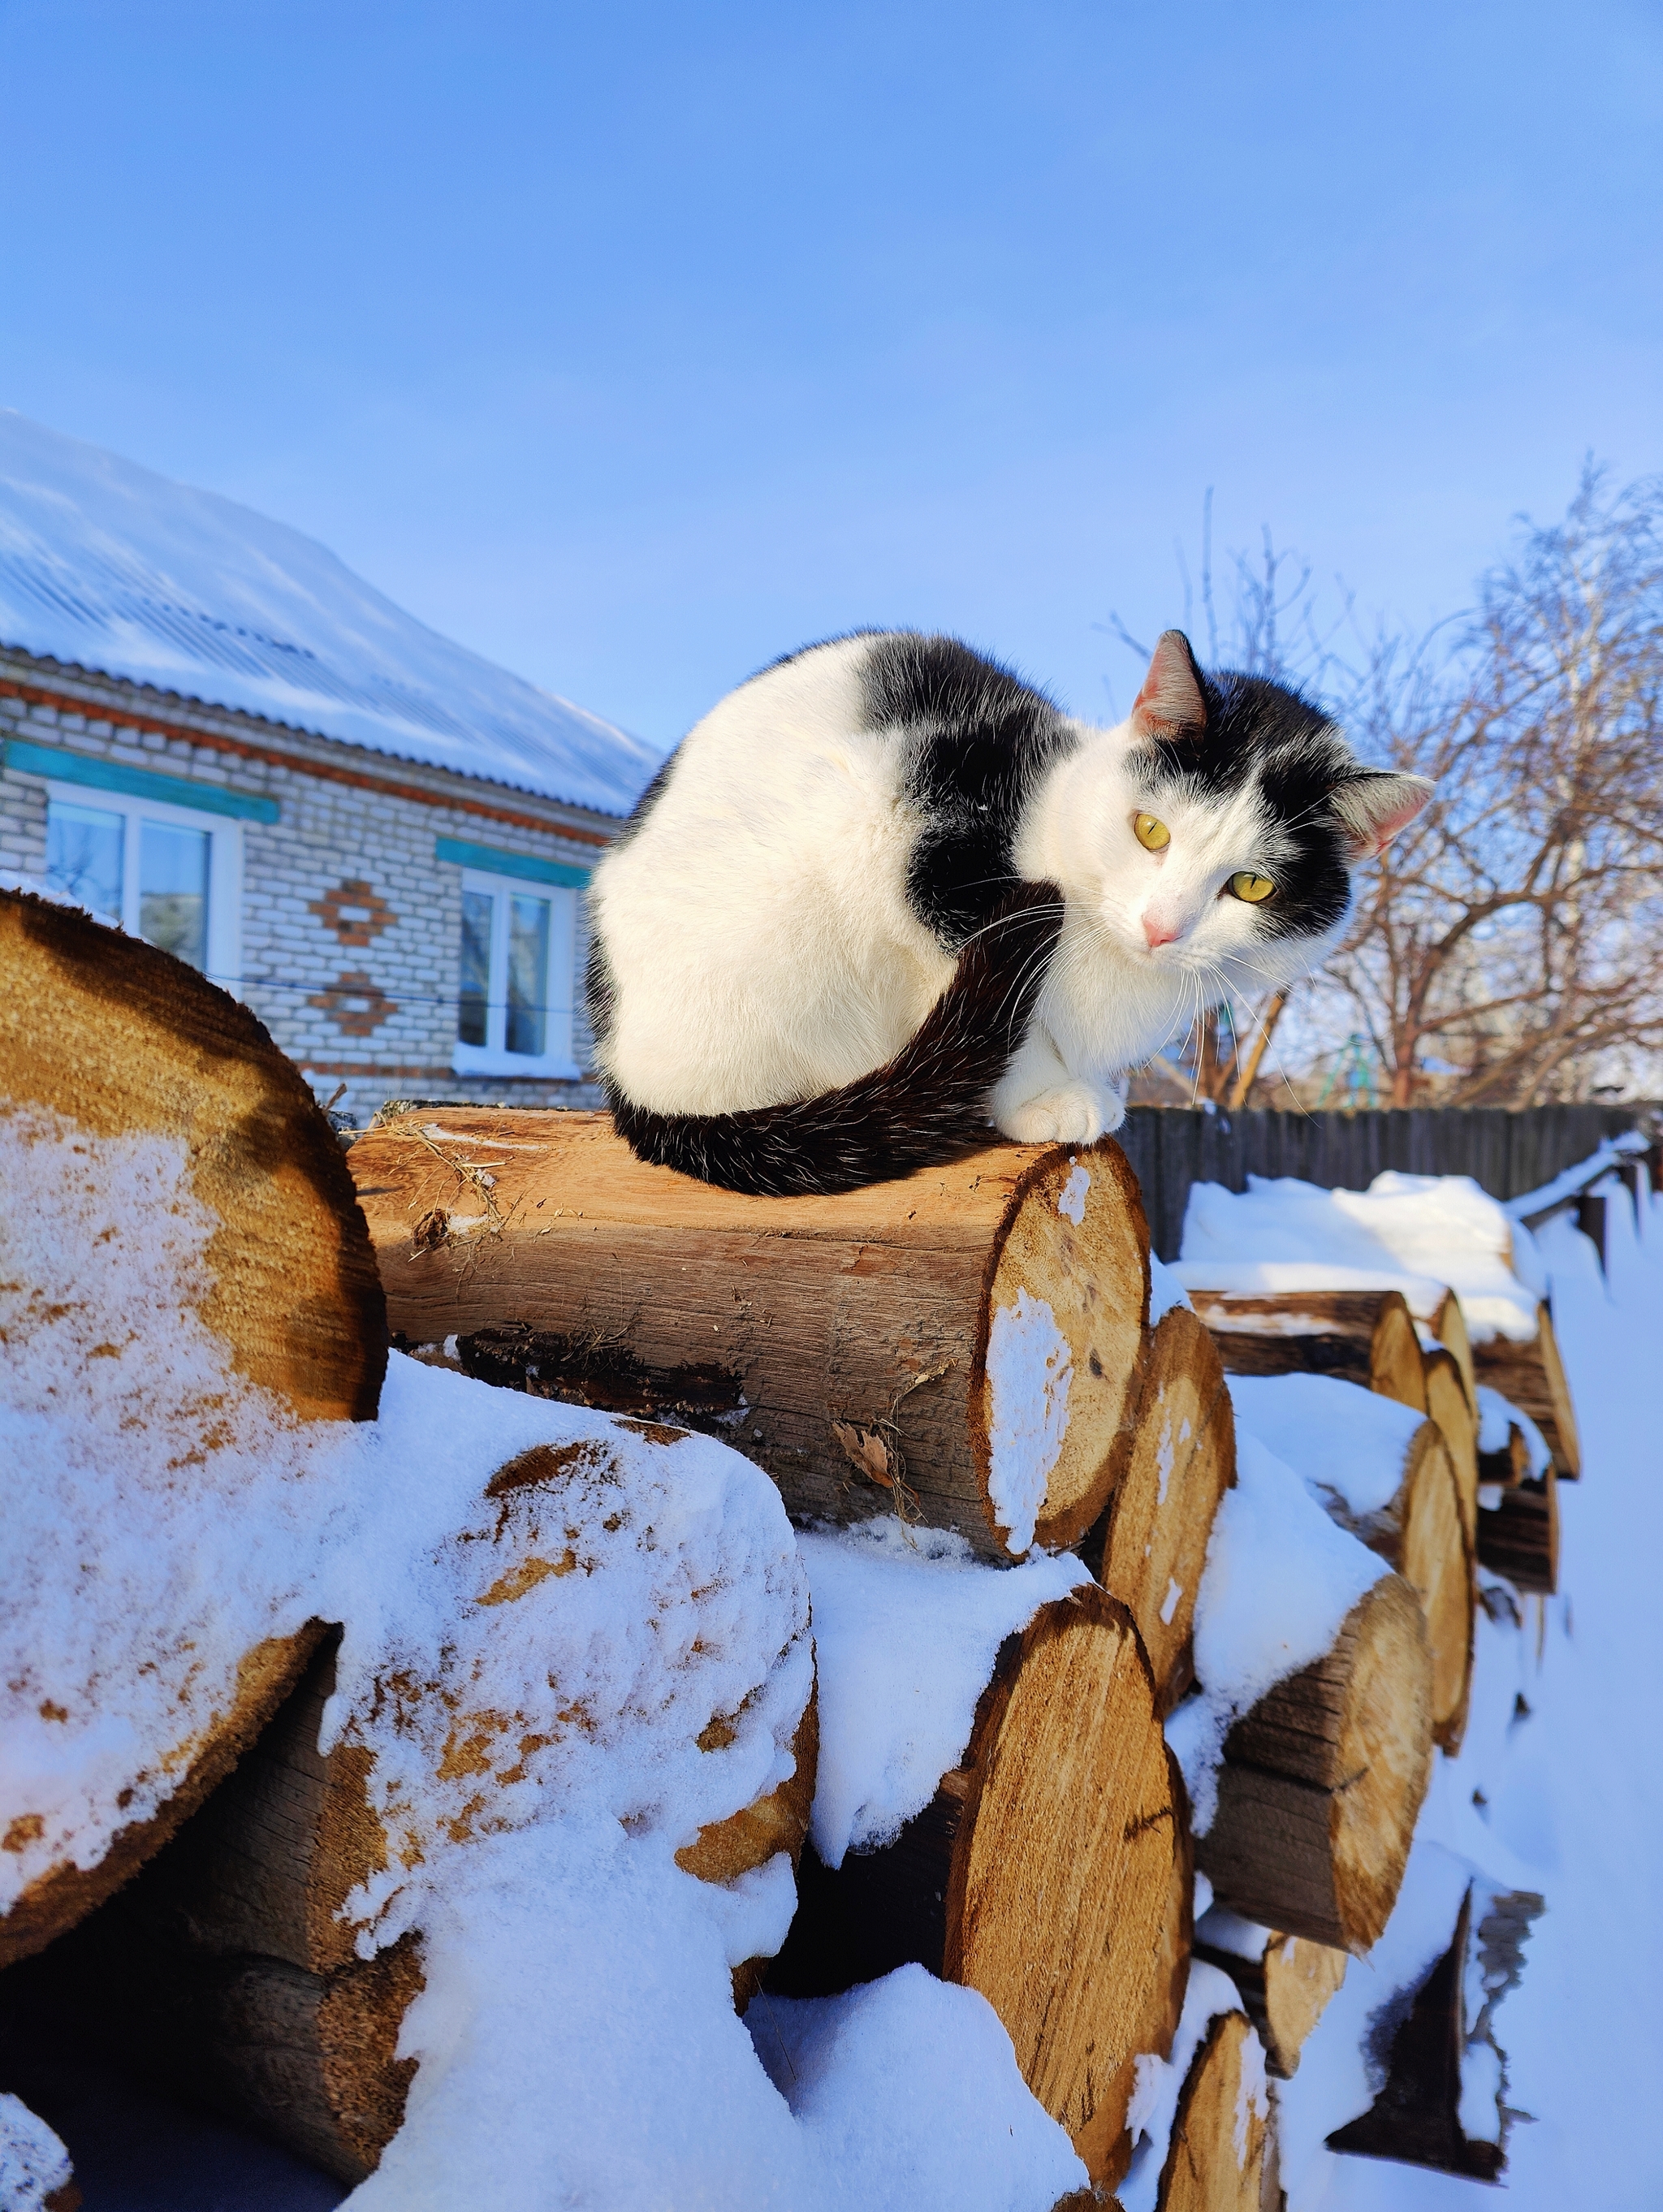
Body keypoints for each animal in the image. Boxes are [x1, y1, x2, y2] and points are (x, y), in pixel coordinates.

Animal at [588, 633, 1432, 1194]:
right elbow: (1007, 1017)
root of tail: (622, 1079)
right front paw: (1047, 1099)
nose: (1161, 926)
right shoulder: (918, 852)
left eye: (1252, 887)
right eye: (1150, 830)